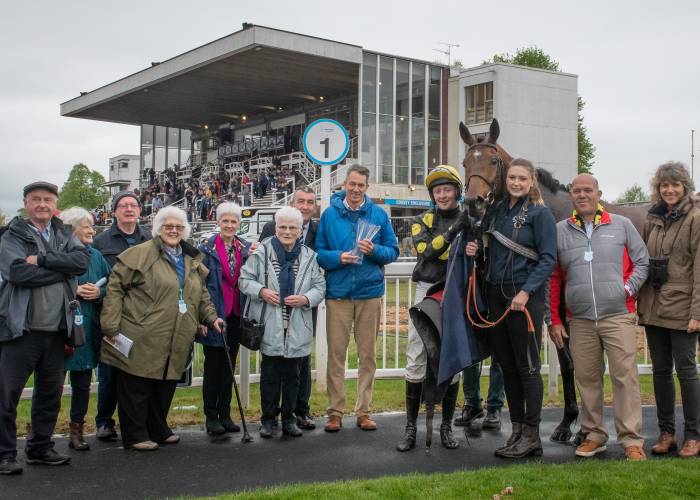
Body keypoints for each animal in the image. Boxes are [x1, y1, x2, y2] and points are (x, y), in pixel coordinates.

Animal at [460, 119, 652, 444]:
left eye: (493, 161)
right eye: (465, 163)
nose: (474, 203)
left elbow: (579, 362)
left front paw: (581, 428)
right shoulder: (558, 312)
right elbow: (567, 361)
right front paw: (568, 424)